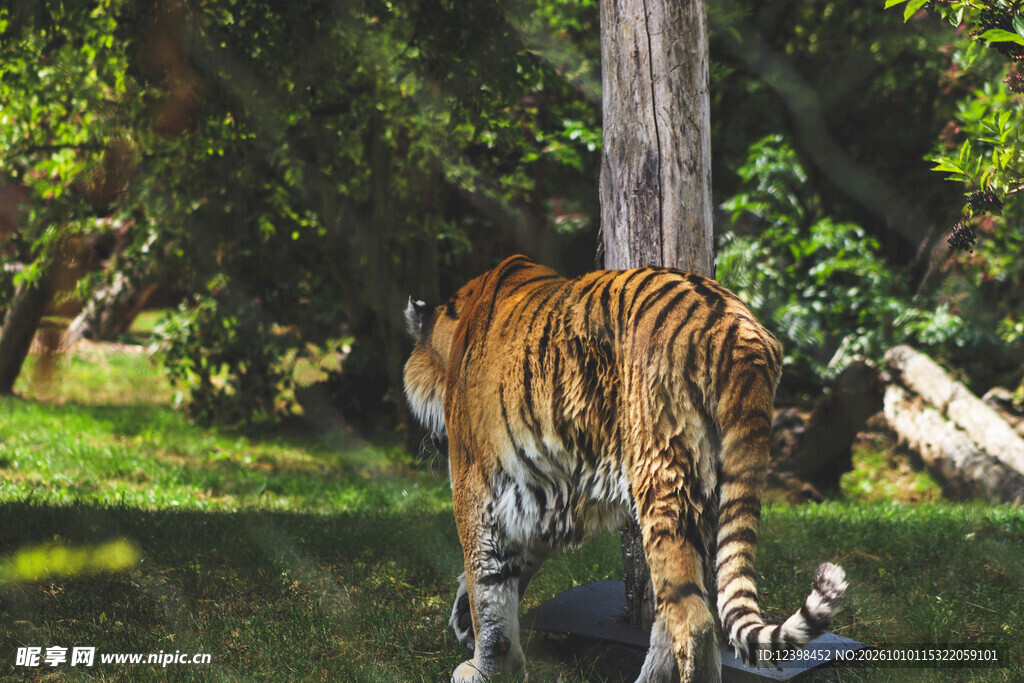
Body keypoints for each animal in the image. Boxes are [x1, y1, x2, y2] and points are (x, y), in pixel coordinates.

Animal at [403, 255, 846, 682]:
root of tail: (740, 329)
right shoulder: (544, 494)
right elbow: (508, 569)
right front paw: (473, 631)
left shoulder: (475, 483)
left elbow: (485, 581)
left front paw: (484, 666)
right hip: (708, 497)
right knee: (676, 611)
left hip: (664, 479)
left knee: (695, 624)